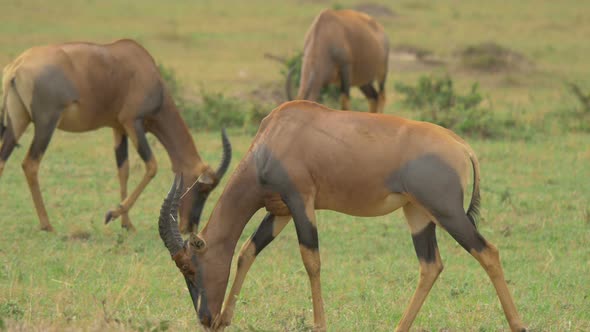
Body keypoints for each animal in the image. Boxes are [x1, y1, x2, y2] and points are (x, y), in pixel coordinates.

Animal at [0, 39, 231, 232]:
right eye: (203, 189)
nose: (189, 228)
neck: (143, 66)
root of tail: (17, 66)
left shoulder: (118, 128)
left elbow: (124, 170)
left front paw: (127, 223)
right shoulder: (133, 122)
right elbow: (152, 166)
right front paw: (112, 214)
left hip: (17, 122)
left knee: (3, 159)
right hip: (46, 123)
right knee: (30, 164)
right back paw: (47, 224)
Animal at [157, 101, 528, 332]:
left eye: (190, 267)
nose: (206, 319)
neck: (276, 136)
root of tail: (460, 144)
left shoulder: (301, 202)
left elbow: (311, 260)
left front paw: (320, 324)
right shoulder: (279, 211)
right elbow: (247, 252)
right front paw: (226, 319)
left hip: (447, 211)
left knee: (488, 252)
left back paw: (518, 324)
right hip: (417, 213)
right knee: (430, 265)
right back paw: (398, 327)